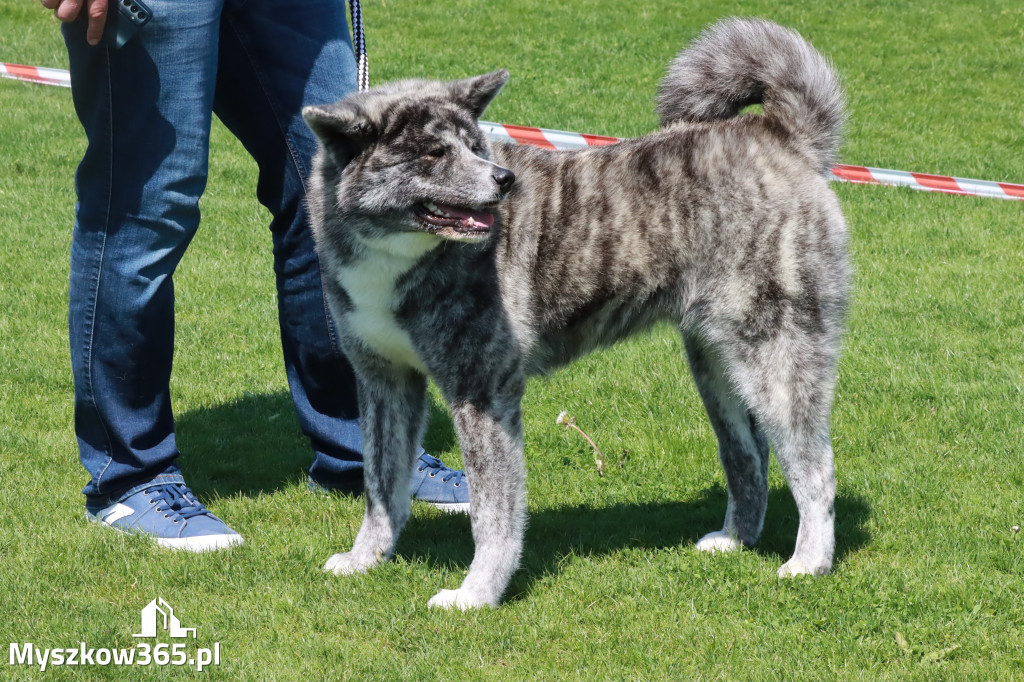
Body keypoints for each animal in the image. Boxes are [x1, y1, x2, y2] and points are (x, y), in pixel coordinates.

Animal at [301, 18, 847, 606]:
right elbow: (380, 485)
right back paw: (735, 539)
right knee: (748, 455)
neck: (398, 251)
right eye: (431, 154)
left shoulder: (482, 391)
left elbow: (493, 513)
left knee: (815, 470)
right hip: (717, 366)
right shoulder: (384, 381)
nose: (503, 181)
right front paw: (365, 559)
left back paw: (809, 562)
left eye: (474, 144)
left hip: (775, 358)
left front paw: (476, 593)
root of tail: (781, 136)